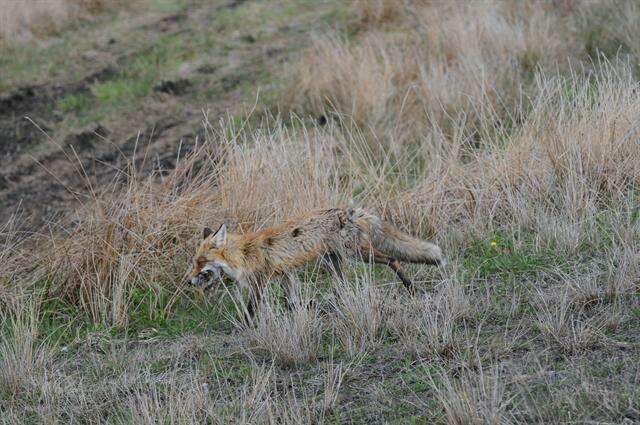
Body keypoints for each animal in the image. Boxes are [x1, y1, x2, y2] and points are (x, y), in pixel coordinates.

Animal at [188, 207, 442, 314]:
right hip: (333, 262)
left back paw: (410, 286)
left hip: (357, 254)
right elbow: (292, 302)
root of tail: (346, 212)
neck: (242, 253)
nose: (189, 281)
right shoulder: (284, 275)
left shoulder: (259, 282)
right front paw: (305, 308)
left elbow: (251, 310)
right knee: (343, 287)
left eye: (200, 262)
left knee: (392, 259)